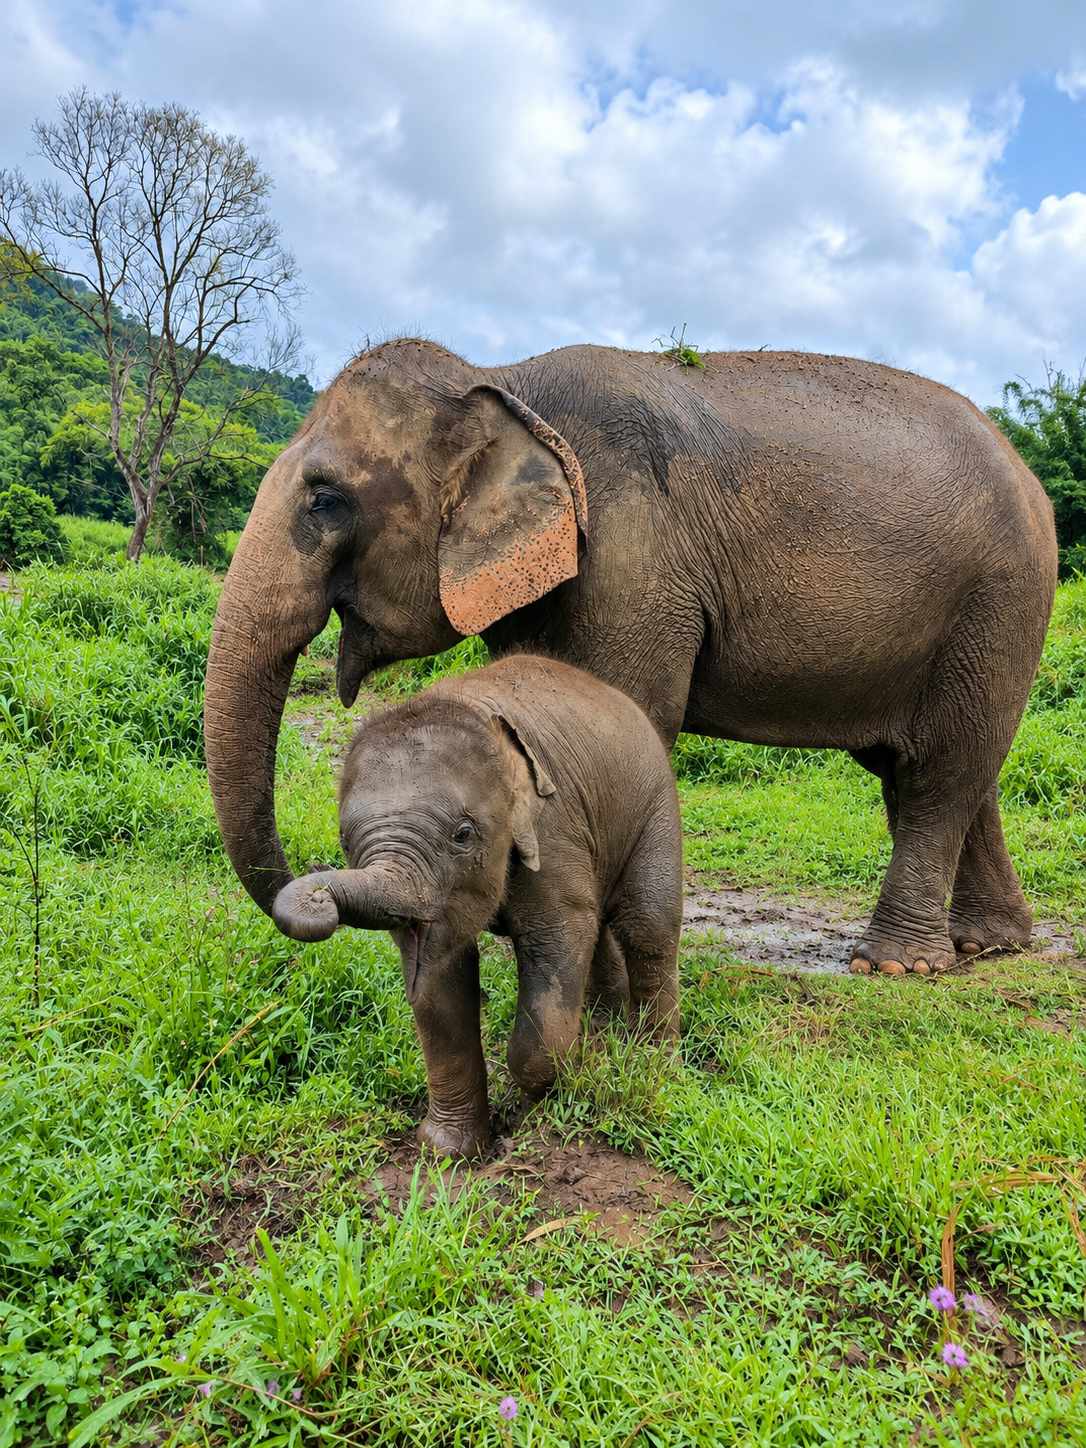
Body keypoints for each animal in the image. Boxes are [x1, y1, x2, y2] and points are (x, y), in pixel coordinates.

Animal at [205, 340, 1058, 977]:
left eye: (325, 498)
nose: (310, 894)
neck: (504, 380)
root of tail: (1028, 473)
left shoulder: (631, 555)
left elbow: (621, 719)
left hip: (1000, 601)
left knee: (940, 772)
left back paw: (898, 965)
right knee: (933, 768)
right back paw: (989, 944)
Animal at [270, 654, 683, 1159]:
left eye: (463, 835)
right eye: (346, 842)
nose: (317, 893)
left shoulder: (553, 826)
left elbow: (558, 937)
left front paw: (545, 1107)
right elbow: (436, 976)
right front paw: (448, 1152)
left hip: (655, 804)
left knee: (647, 927)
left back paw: (653, 1066)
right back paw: (605, 1038)